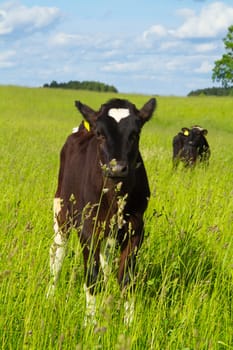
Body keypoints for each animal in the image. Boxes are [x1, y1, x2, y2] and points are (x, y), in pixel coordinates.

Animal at [47, 97, 157, 322]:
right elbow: (92, 277)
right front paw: (90, 323)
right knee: (58, 253)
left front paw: (129, 323)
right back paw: (50, 295)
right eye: (100, 133)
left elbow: (127, 279)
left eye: (135, 133)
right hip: (61, 209)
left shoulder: (136, 227)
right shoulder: (88, 227)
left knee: (106, 260)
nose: (116, 168)